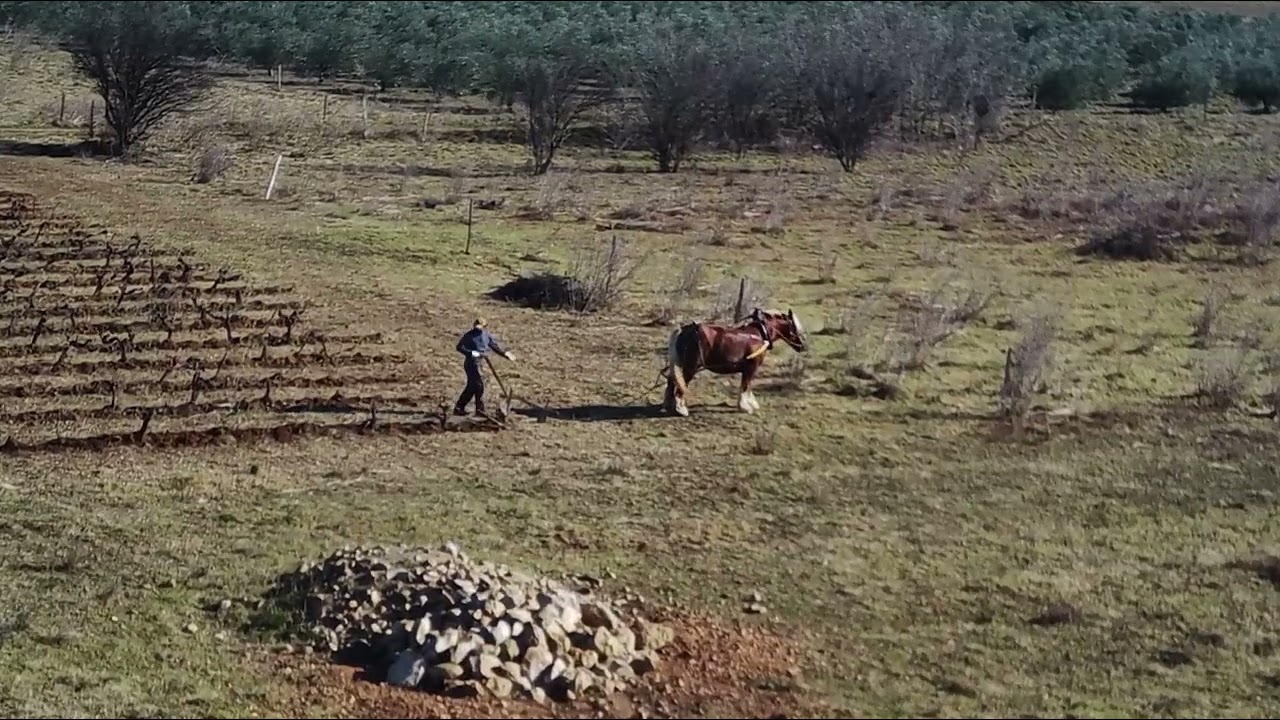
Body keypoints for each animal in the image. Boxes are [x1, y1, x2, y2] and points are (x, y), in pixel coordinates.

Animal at [662, 308, 809, 417]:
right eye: (795, 327)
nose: (803, 345)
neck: (760, 335)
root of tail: (683, 330)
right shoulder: (751, 367)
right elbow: (745, 386)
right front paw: (745, 407)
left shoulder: (750, 369)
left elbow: (748, 386)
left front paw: (751, 403)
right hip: (691, 367)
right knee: (681, 383)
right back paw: (681, 409)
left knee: (671, 380)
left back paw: (669, 404)